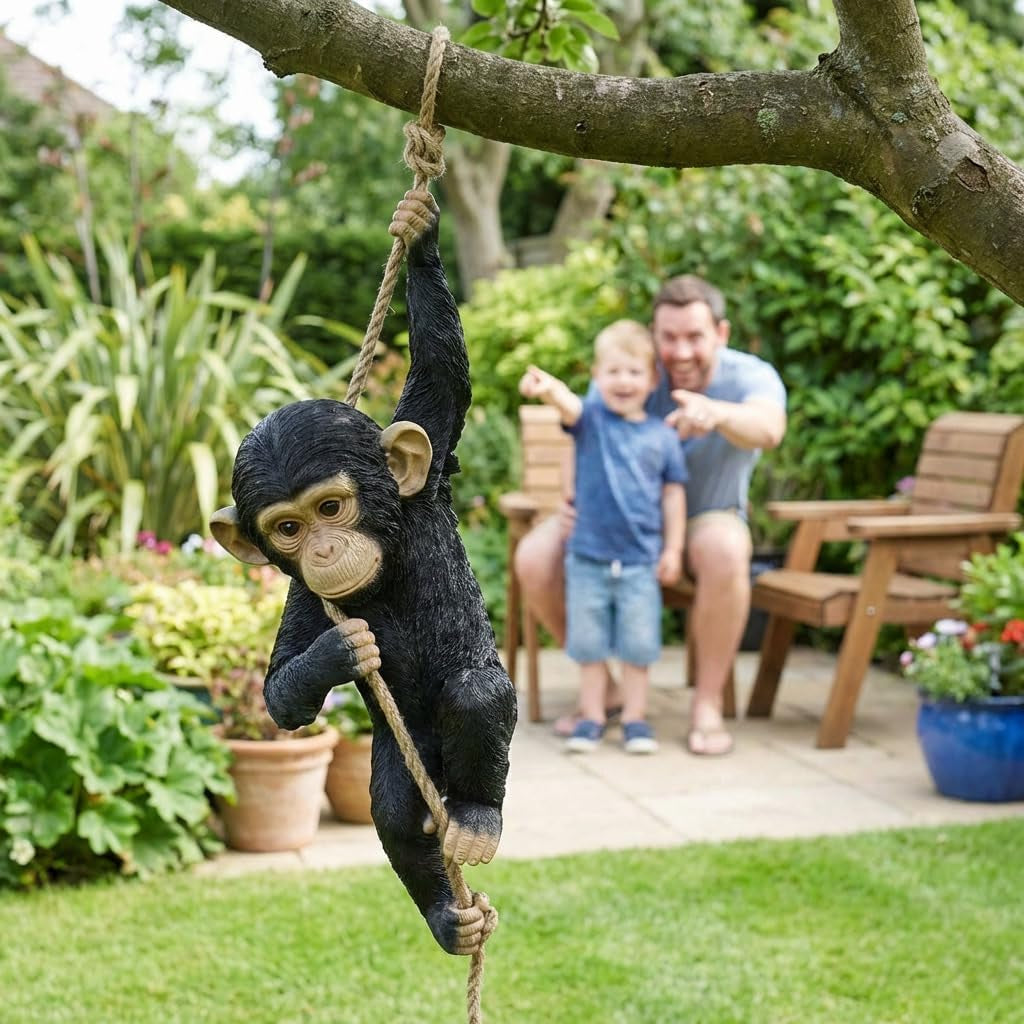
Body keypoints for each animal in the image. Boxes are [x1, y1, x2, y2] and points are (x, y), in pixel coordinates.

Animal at [210, 191, 517, 957]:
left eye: (330, 507)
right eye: (288, 529)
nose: (323, 550)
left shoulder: (427, 475)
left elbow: (442, 384)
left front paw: (421, 232)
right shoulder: (300, 595)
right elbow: (279, 695)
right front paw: (340, 652)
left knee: (477, 694)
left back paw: (477, 818)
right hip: (399, 760)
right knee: (394, 813)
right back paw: (448, 917)